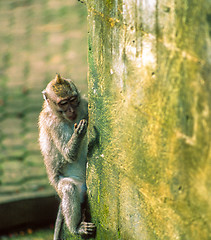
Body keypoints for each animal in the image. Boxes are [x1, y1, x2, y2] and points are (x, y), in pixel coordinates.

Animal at [38, 74, 96, 239]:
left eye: (73, 99)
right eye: (63, 103)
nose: (71, 110)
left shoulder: (84, 104)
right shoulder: (54, 124)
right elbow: (67, 154)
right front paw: (79, 133)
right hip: (66, 185)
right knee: (68, 188)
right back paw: (75, 228)